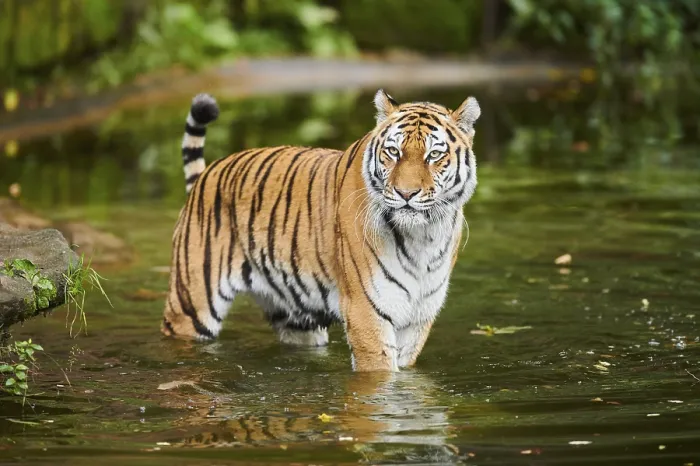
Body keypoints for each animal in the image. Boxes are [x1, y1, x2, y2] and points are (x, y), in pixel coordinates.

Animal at [161, 89, 480, 372]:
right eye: (393, 151)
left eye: (434, 155)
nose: (406, 193)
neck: (423, 236)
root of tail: (208, 173)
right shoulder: (366, 312)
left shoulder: (418, 317)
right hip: (191, 305)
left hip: (296, 317)